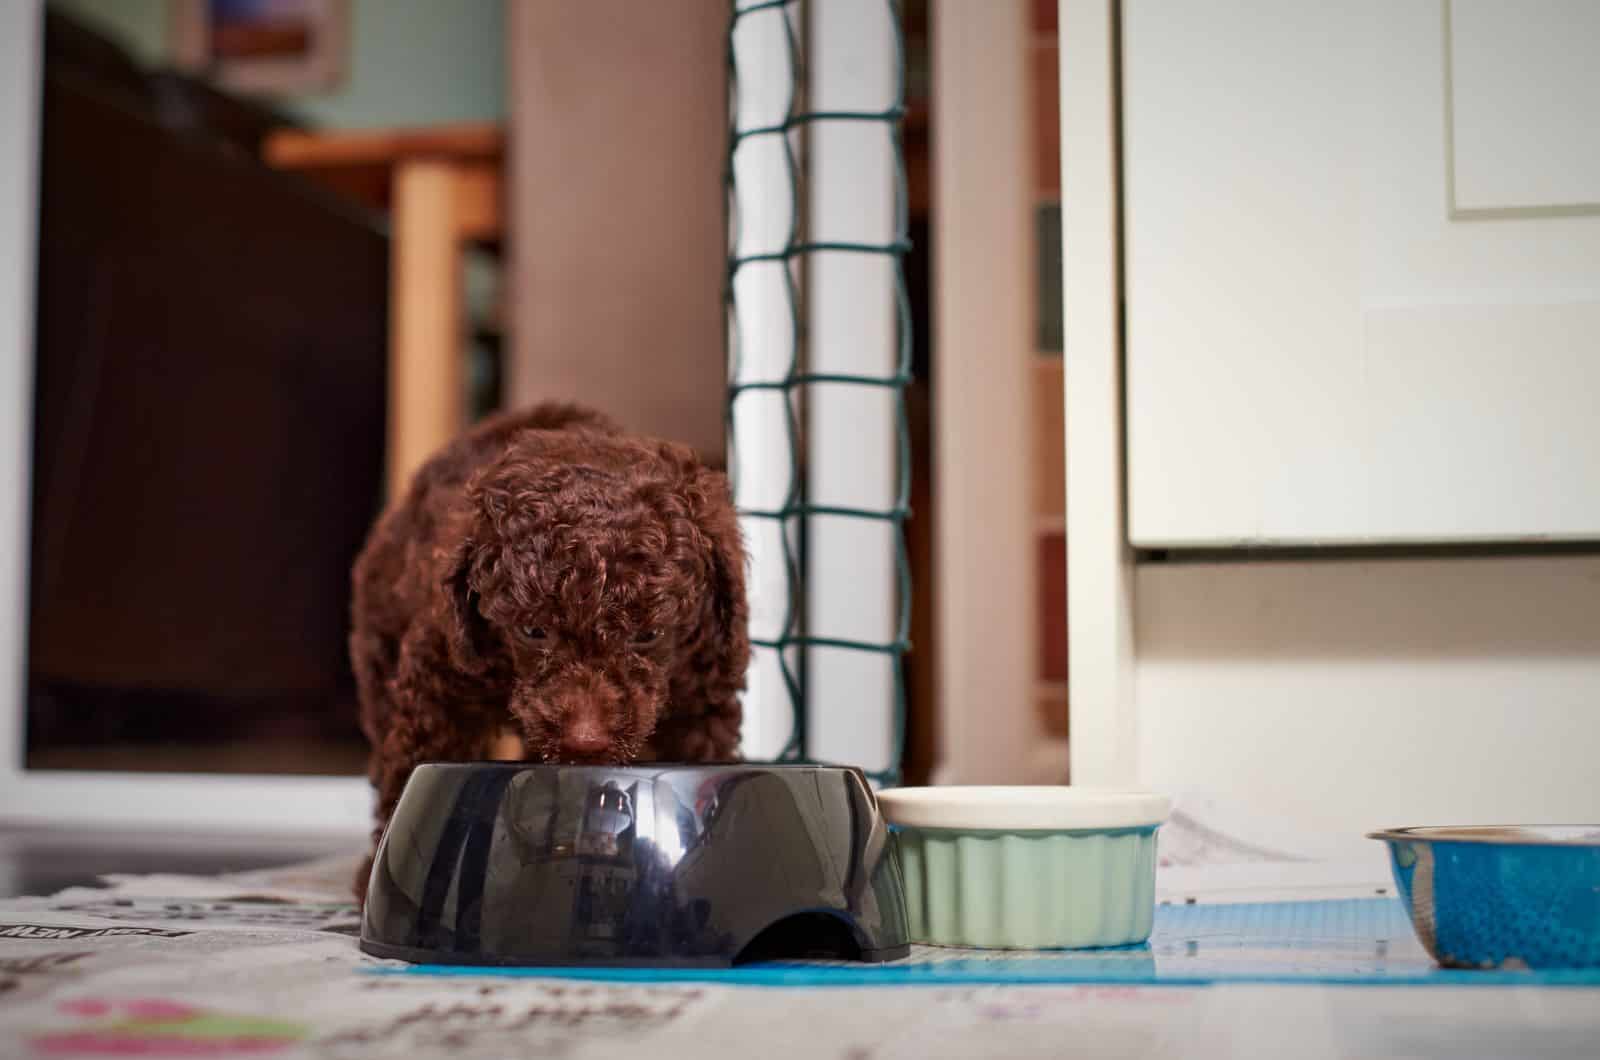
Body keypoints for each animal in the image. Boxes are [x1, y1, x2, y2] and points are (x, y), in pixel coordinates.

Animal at [347, 405, 745, 896]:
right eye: (533, 630)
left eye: (650, 633)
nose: (586, 741)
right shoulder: (440, 670)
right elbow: (412, 765)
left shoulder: (702, 686)